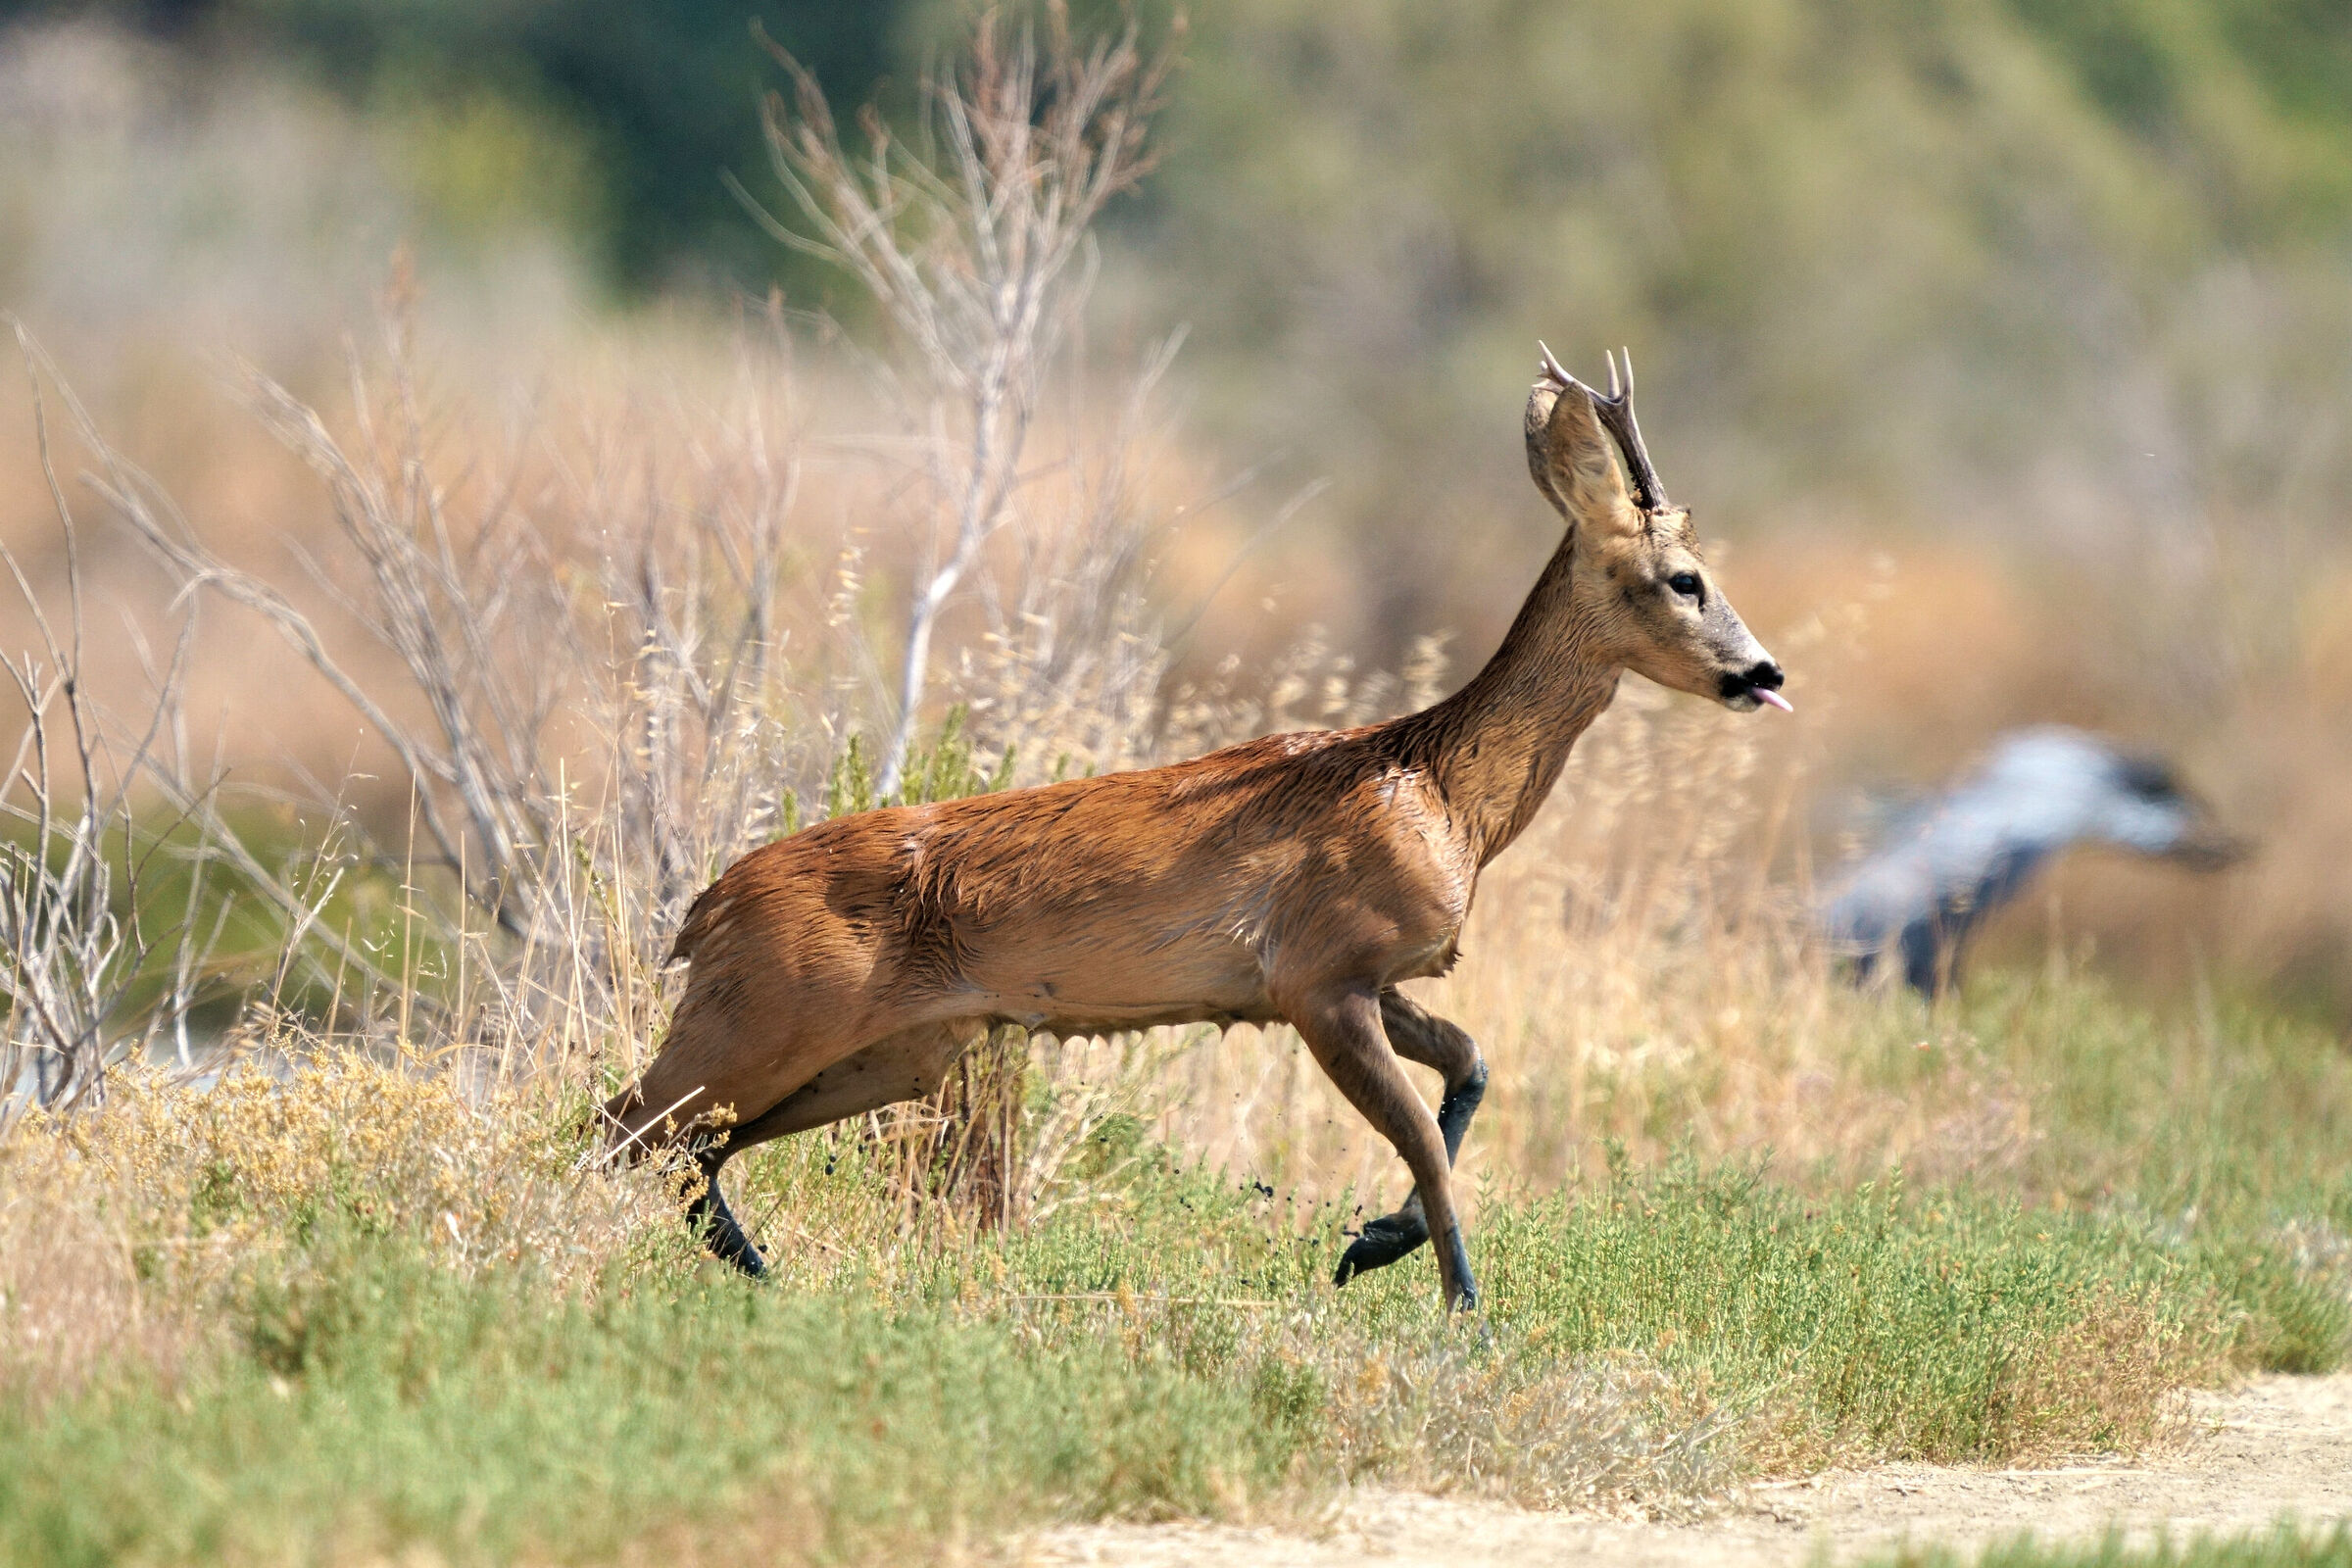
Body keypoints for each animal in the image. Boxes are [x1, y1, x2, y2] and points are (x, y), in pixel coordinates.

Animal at [600, 346, 1789, 1310]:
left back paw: (765, 1278)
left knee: (684, 1153)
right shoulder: (1315, 974)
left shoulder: (1359, 976)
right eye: (1684, 579)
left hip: (893, 1054)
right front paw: (1464, 1315)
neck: (1442, 791)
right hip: (770, 1013)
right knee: (621, 1126)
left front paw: (1373, 1244)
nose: (1765, 673)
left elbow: (1471, 1067)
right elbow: (1428, 1139)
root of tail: (702, 909)